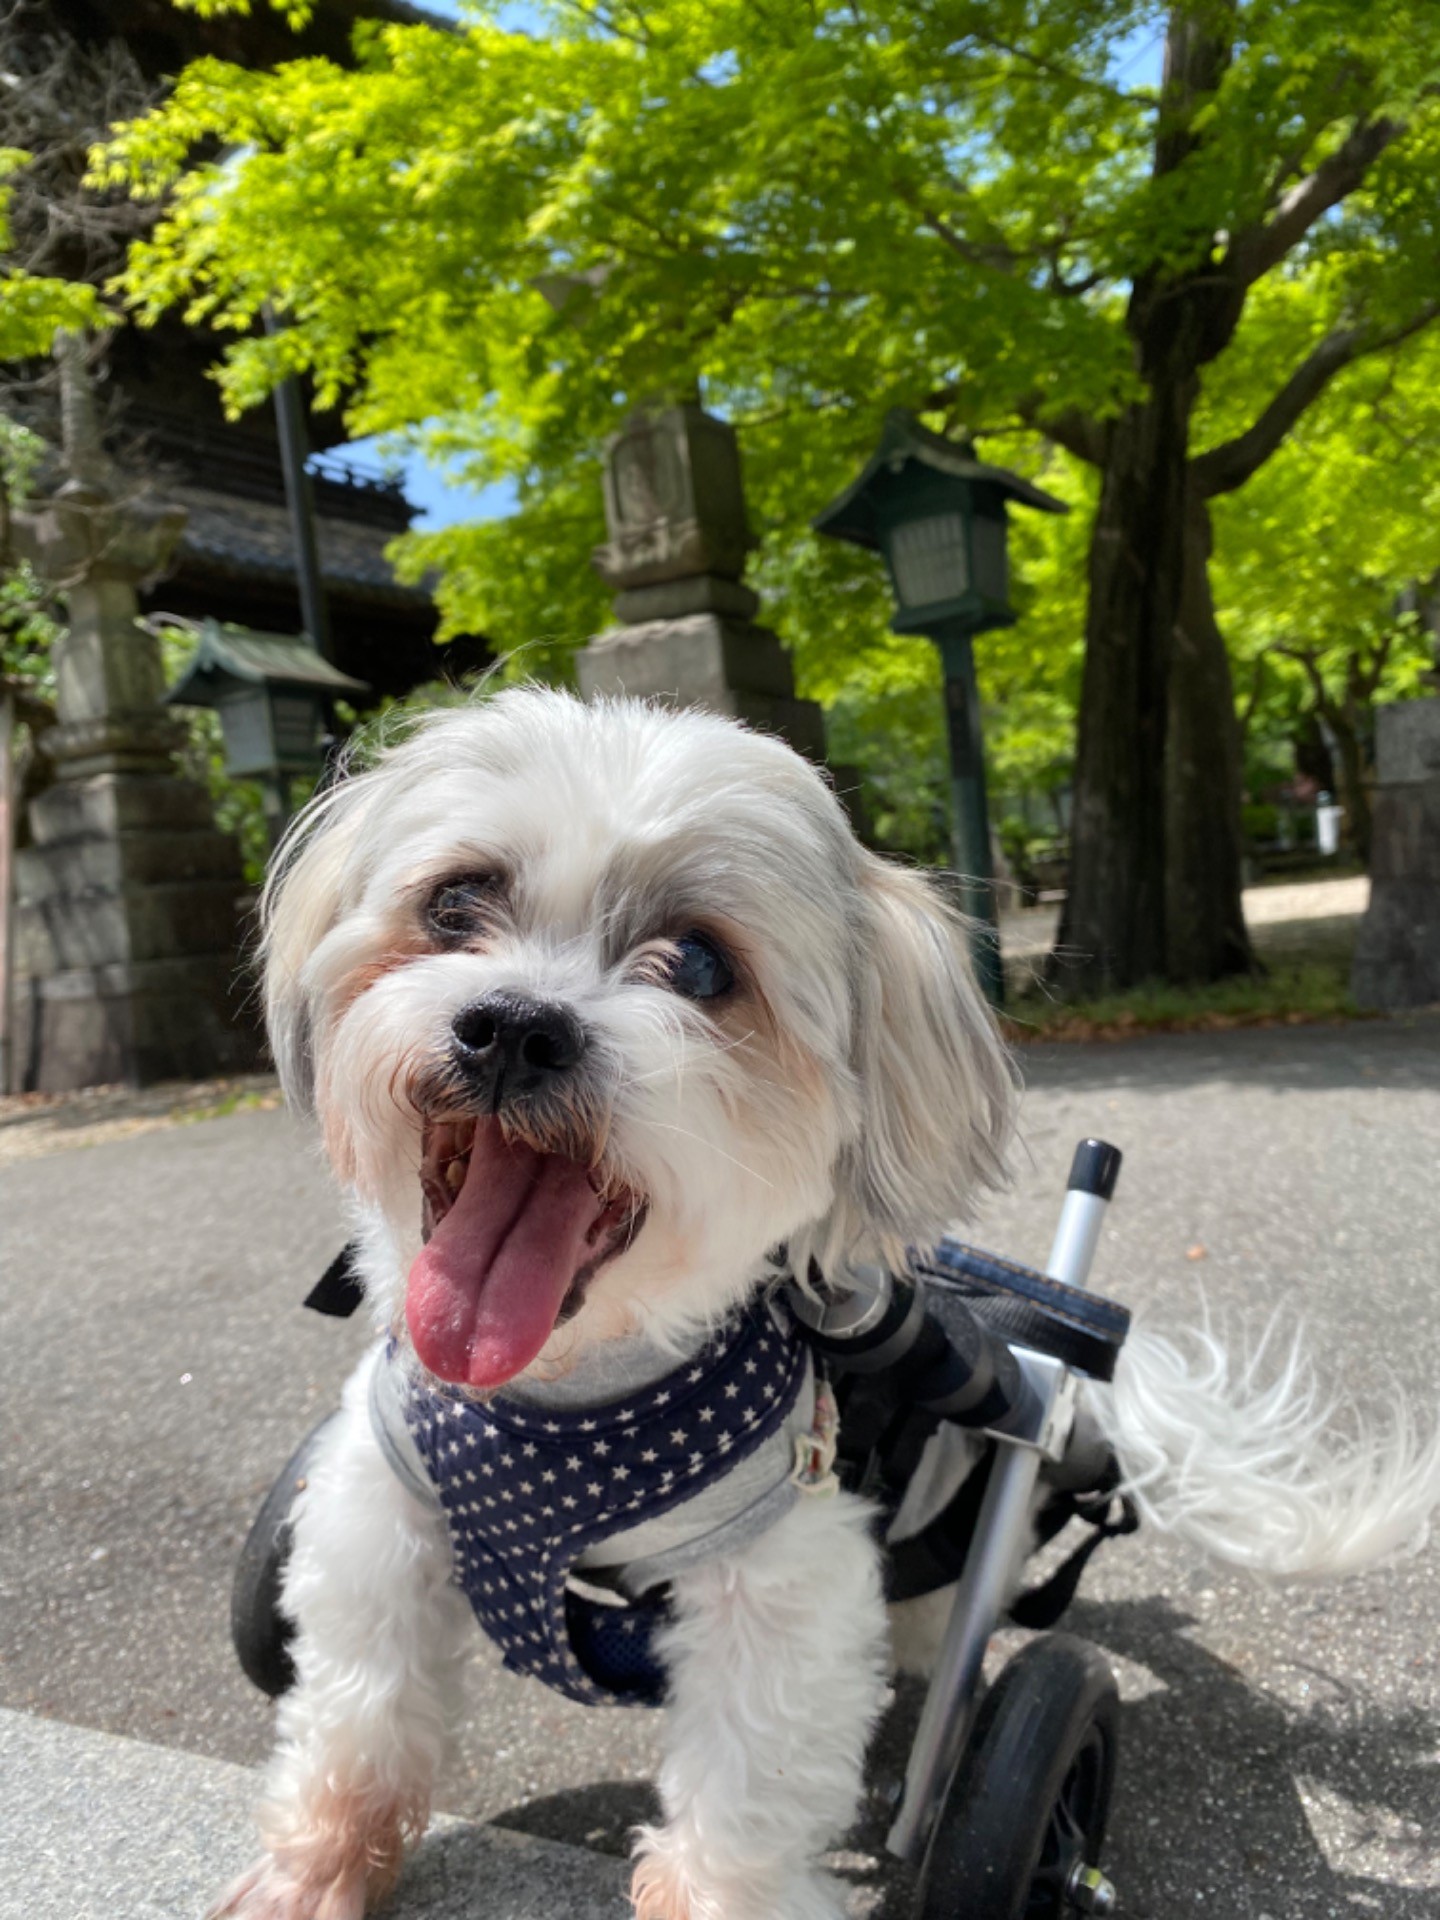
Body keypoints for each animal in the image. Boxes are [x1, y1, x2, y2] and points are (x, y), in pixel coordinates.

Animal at [211, 691, 1440, 1920]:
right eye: (457, 901)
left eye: (701, 963)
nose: (515, 1025)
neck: (565, 1395)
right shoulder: (379, 1513)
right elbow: (358, 1711)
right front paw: (314, 1869)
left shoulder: (781, 1579)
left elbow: (744, 1792)